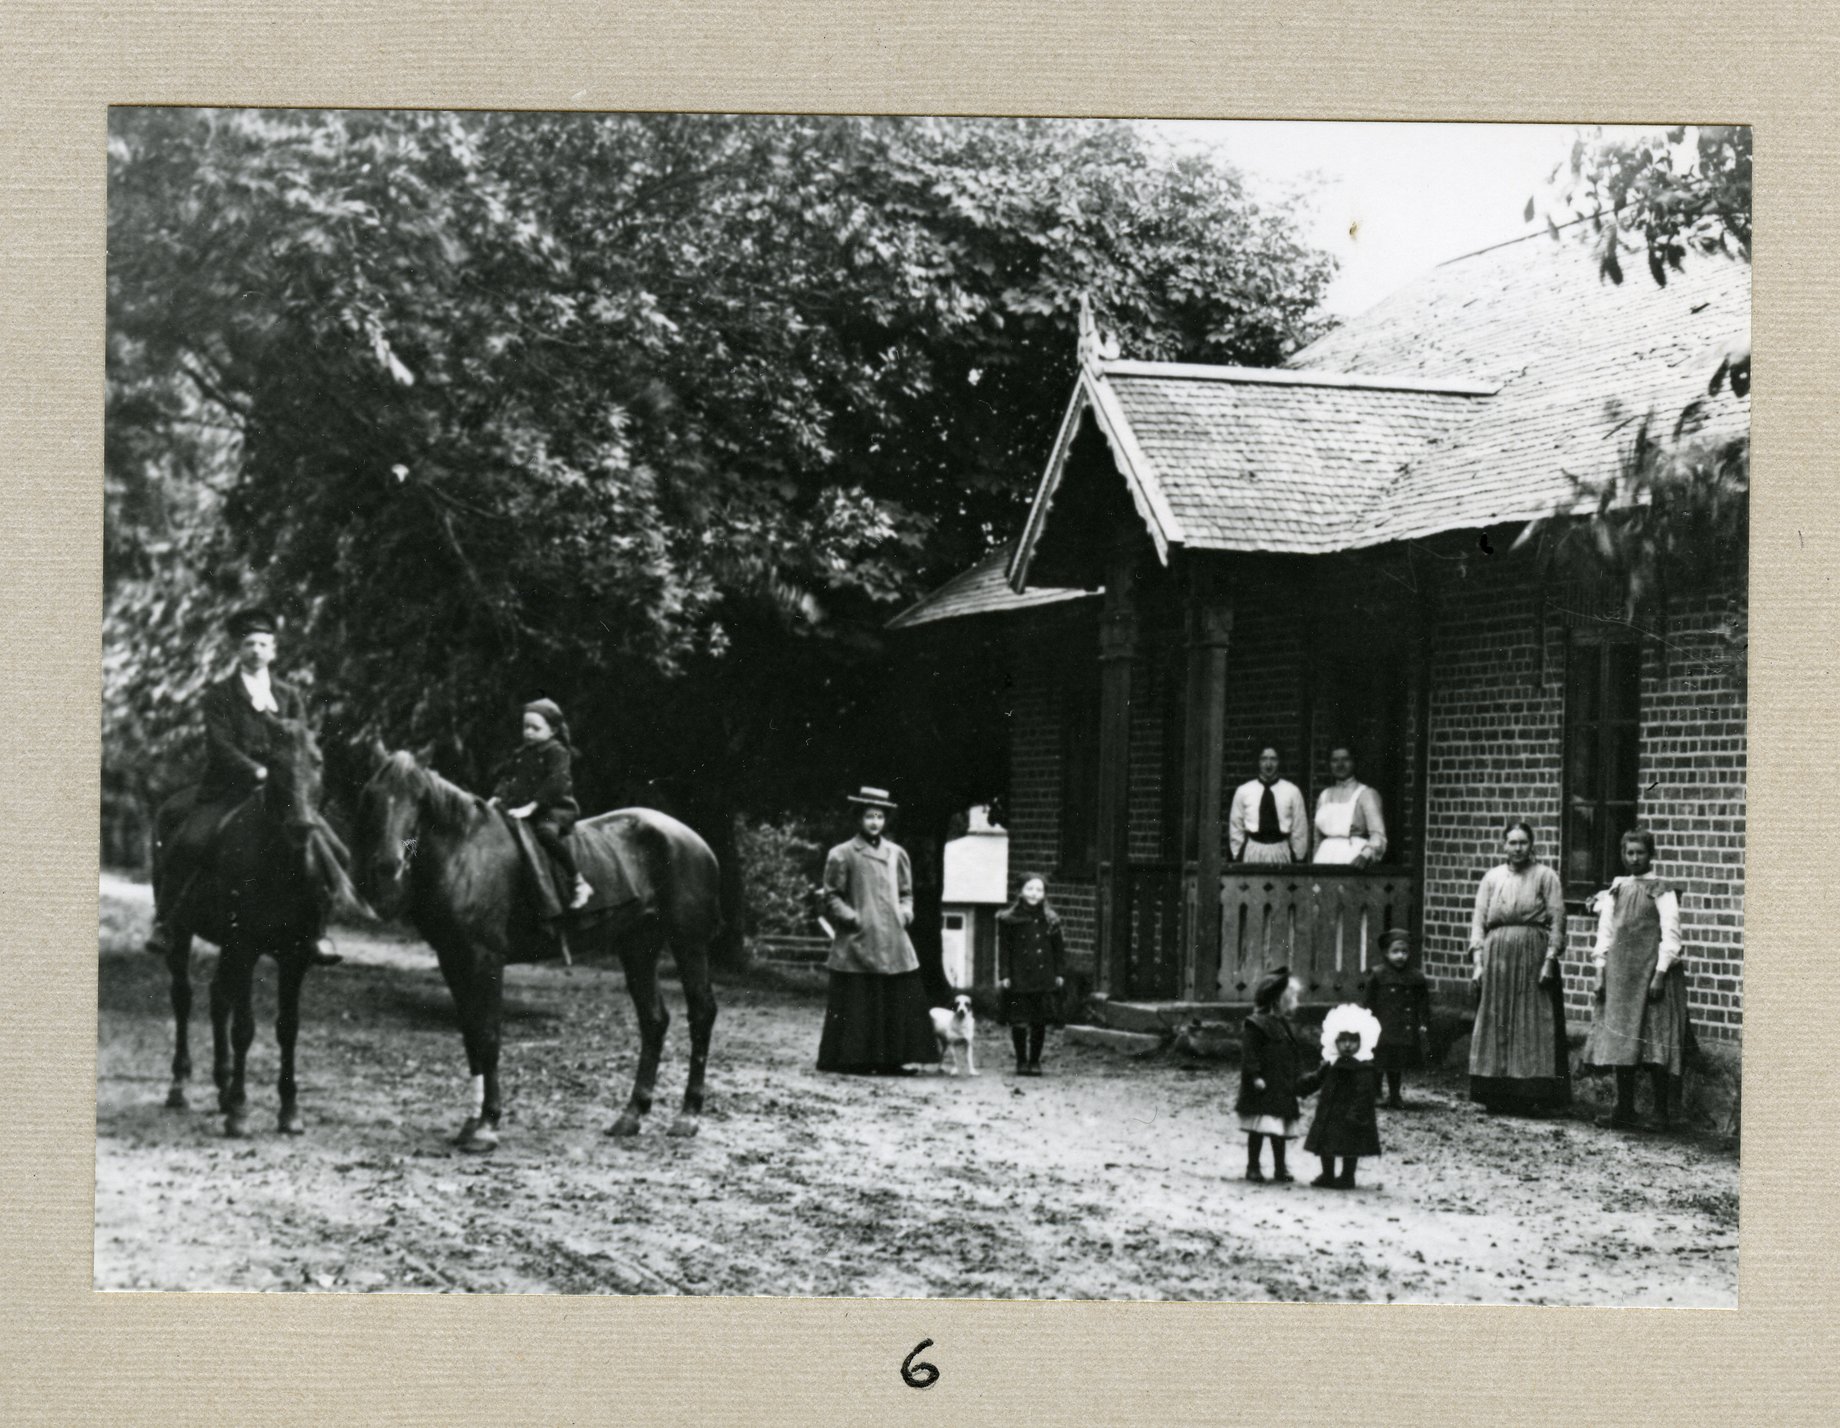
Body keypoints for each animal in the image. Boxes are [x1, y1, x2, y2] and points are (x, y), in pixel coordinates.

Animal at [147, 721, 355, 1133]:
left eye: (318, 761)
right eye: (274, 763)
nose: (301, 826)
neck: (282, 866)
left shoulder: (295, 957)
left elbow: (287, 1028)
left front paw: (289, 1111)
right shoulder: (244, 947)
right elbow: (244, 1028)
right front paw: (241, 1113)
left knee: (217, 997)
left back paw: (222, 1087)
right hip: (183, 936)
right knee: (184, 997)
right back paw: (181, 1086)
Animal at [351, 747, 717, 1148]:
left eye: (419, 798)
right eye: (370, 794)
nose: (387, 865)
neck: (465, 852)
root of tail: (693, 839)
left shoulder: (485, 960)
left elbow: (488, 1036)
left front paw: (488, 1124)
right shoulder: (453, 959)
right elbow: (470, 1038)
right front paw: (471, 1121)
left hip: (688, 942)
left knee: (701, 1014)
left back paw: (688, 1115)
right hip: (638, 945)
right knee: (653, 1020)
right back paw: (631, 1115)